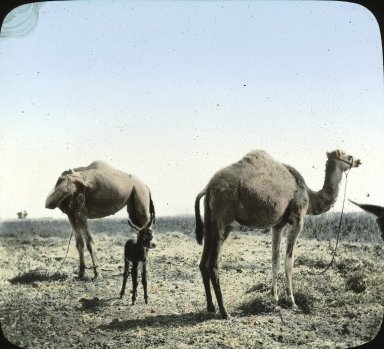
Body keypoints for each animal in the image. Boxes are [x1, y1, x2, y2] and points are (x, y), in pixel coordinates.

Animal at [196, 148, 362, 316]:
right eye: (349, 156)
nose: (358, 161)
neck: (309, 195)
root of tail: (208, 188)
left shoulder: (277, 225)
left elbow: (275, 260)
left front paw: (274, 298)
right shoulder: (297, 219)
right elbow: (289, 261)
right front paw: (292, 301)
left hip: (209, 221)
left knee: (203, 263)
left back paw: (211, 307)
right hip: (224, 221)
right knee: (212, 263)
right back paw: (224, 312)